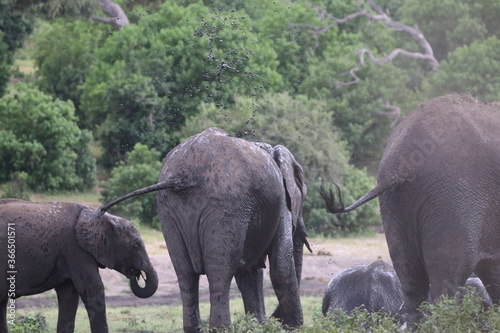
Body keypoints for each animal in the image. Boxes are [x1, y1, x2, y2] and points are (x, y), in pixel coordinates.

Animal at [0, 198, 158, 330]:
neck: (98, 216)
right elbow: (93, 290)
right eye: (136, 246)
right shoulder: (76, 251)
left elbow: (69, 295)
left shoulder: (69, 255)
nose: (137, 274)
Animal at [100, 126, 310, 330]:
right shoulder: (279, 204)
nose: (273, 322)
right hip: (226, 207)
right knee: (219, 275)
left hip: (168, 210)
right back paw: (221, 328)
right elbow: (281, 265)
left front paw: (256, 326)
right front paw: (294, 327)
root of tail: (183, 174)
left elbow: (248, 273)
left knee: (185, 275)